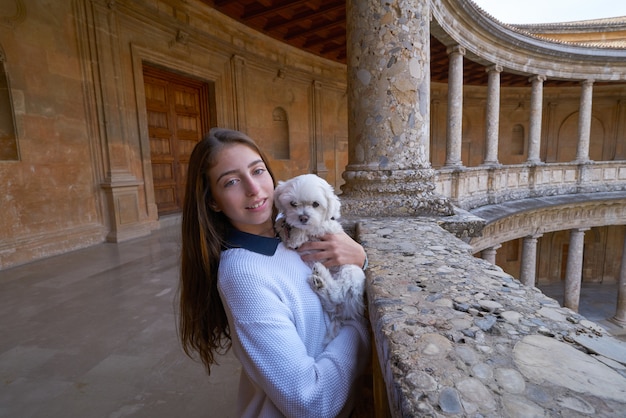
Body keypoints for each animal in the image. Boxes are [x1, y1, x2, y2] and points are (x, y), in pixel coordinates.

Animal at [272, 173, 366, 340]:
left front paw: (296, 236)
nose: (303, 217)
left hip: (351, 271)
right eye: (293, 203)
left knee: (337, 293)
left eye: (316, 204)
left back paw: (321, 275)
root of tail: (344, 313)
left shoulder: (327, 227)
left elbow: (313, 227)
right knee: (331, 301)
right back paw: (319, 282)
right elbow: (284, 224)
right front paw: (283, 226)